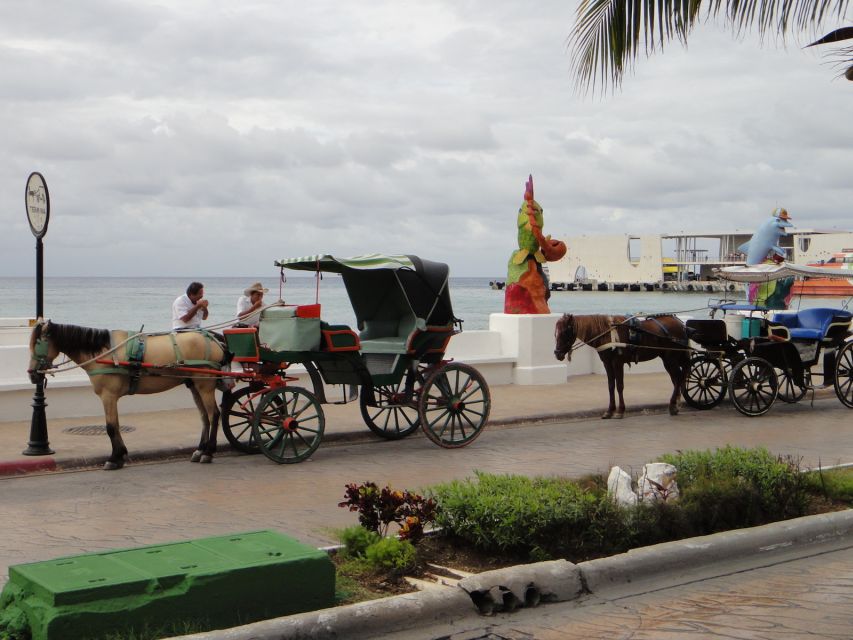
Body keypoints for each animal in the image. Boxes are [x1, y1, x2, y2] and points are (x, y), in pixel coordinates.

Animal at [27, 320, 228, 470]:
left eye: (38, 344)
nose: (32, 374)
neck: (103, 353)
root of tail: (213, 339)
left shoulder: (108, 396)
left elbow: (111, 427)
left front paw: (114, 458)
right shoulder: (110, 397)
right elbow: (115, 425)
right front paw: (120, 455)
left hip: (205, 385)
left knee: (214, 414)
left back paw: (208, 452)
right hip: (195, 385)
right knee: (204, 417)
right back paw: (200, 450)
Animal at [552, 316, 692, 420]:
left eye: (565, 332)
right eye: (555, 333)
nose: (557, 353)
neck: (607, 333)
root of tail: (681, 325)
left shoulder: (617, 362)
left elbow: (619, 386)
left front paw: (620, 410)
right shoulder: (607, 363)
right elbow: (610, 386)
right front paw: (610, 410)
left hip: (671, 359)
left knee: (678, 378)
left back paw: (673, 405)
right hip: (670, 359)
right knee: (679, 377)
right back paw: (676, 403)